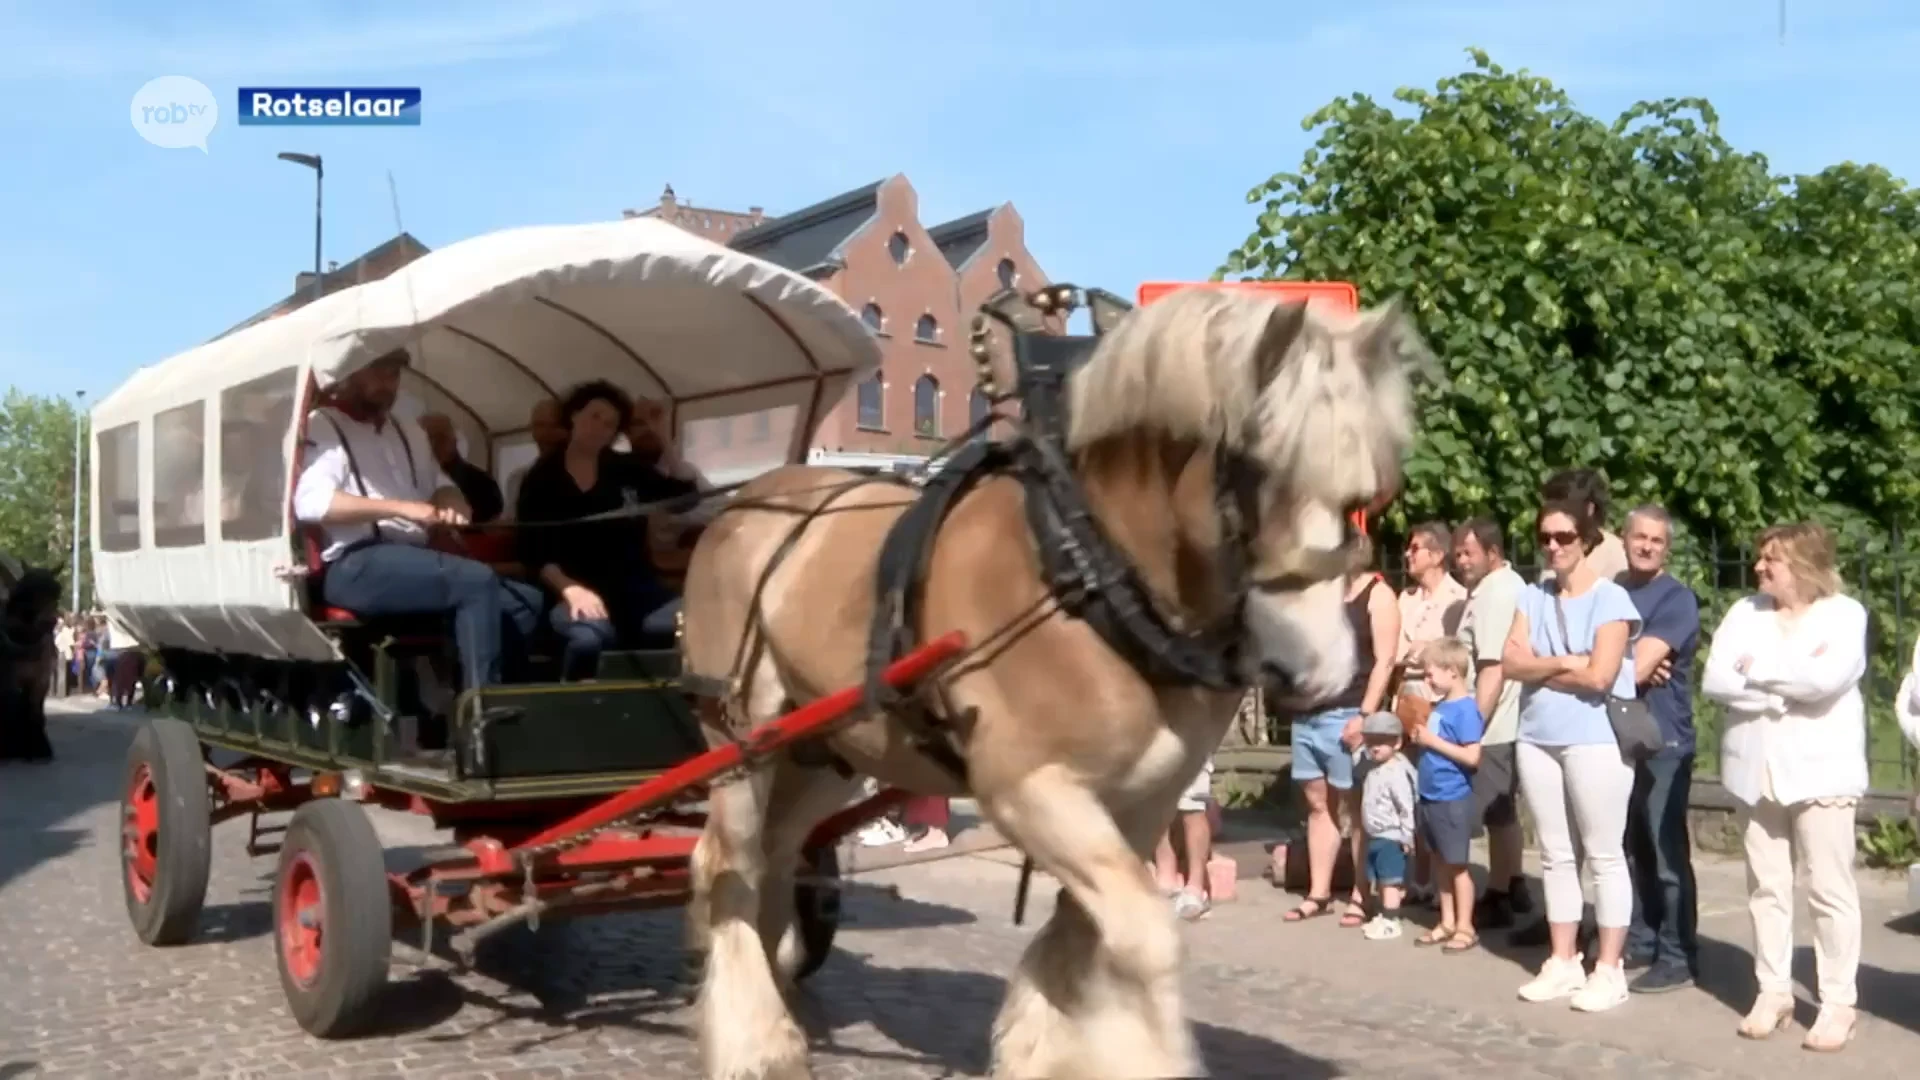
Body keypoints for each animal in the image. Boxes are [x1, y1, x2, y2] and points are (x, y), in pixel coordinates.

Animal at [683, 286, 1420, 1076]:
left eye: (1365, 493)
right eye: (1253, 467)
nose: (1320, 672)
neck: (1088, 572)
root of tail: (740, 505)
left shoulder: (1148, 794)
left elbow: (1087, 934)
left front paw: (1048, 1044)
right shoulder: (1029, 785)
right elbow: (1144, 938)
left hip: (826, 751)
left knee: (777, 854)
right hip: (738, 736)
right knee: (729, 862)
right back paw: (755, 1038)